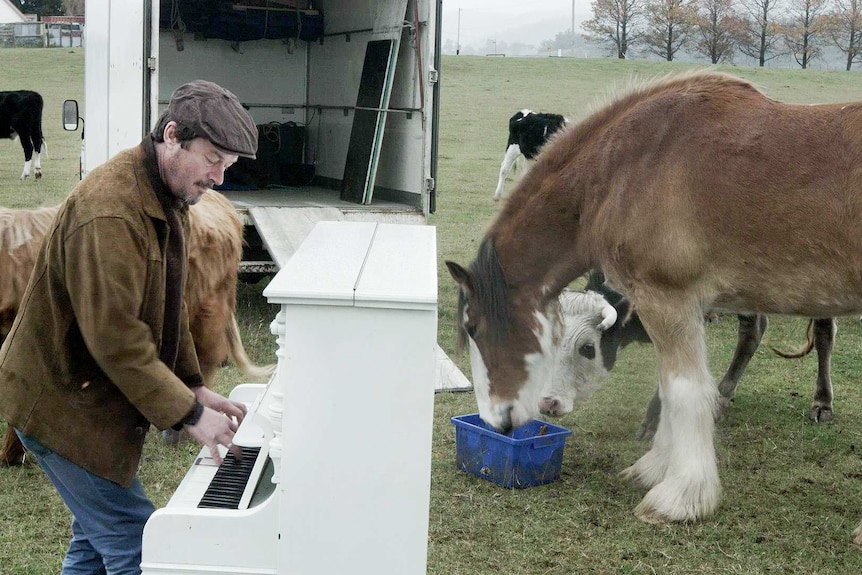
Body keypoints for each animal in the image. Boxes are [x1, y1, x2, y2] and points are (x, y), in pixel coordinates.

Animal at [544, 272, 840, 438]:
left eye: (587, 347)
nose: (548, 403)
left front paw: (654, 419)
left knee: (824, 331)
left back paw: (822, 402)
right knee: (752, 331)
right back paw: (722, 395)